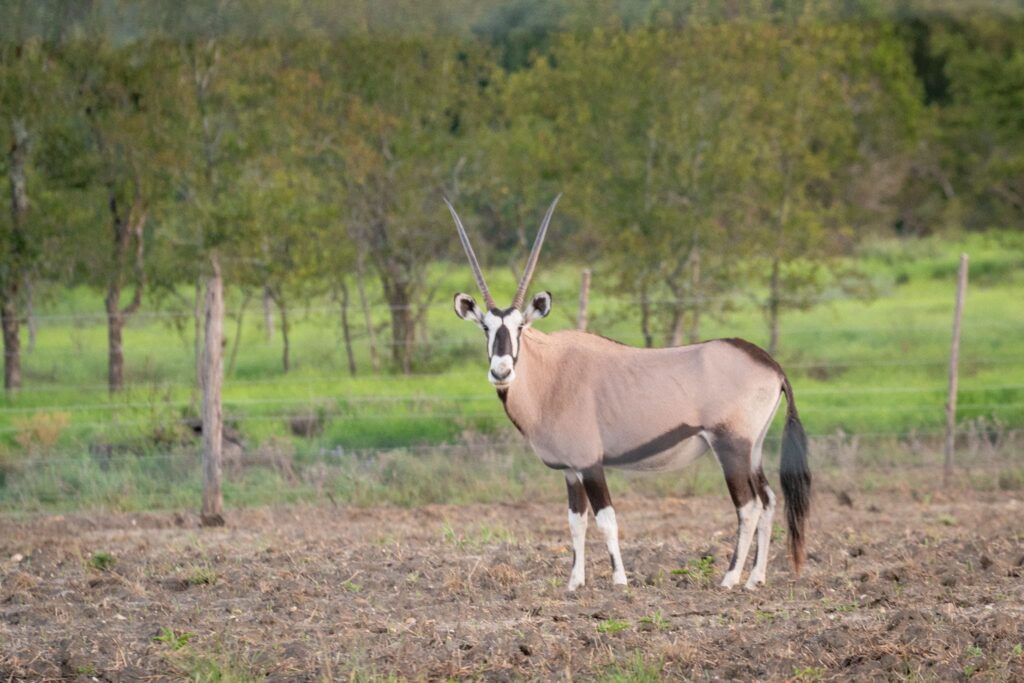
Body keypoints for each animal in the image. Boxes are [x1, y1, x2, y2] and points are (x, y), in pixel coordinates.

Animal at [445, 196, 811, 591]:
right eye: (486, 327)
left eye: (520, 327)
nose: (501, 371)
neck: (551, 374)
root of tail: (771, 365)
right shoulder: (570, 470)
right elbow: (576, 522)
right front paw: (575, 582)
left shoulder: (590, 464)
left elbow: (606, 519)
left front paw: (619, 580)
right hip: (752, 449)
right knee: (769, 499)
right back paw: (755, 578)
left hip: (731, 446)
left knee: (749, 505)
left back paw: (729, 579)